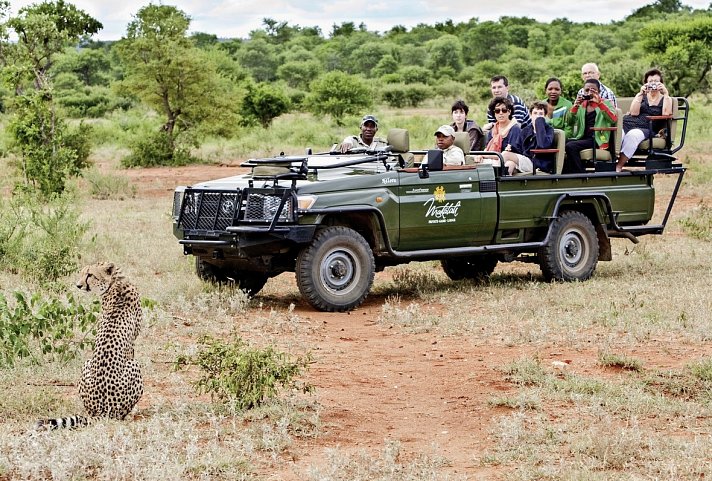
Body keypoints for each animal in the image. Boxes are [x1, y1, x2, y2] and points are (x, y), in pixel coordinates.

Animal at [36, 262, 143, 428]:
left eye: (90, 275)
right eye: (82, 273)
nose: (78, 285)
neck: (115, 282)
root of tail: (102, 411)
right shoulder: (132, 344)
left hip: (87, 364)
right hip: (135, 366)